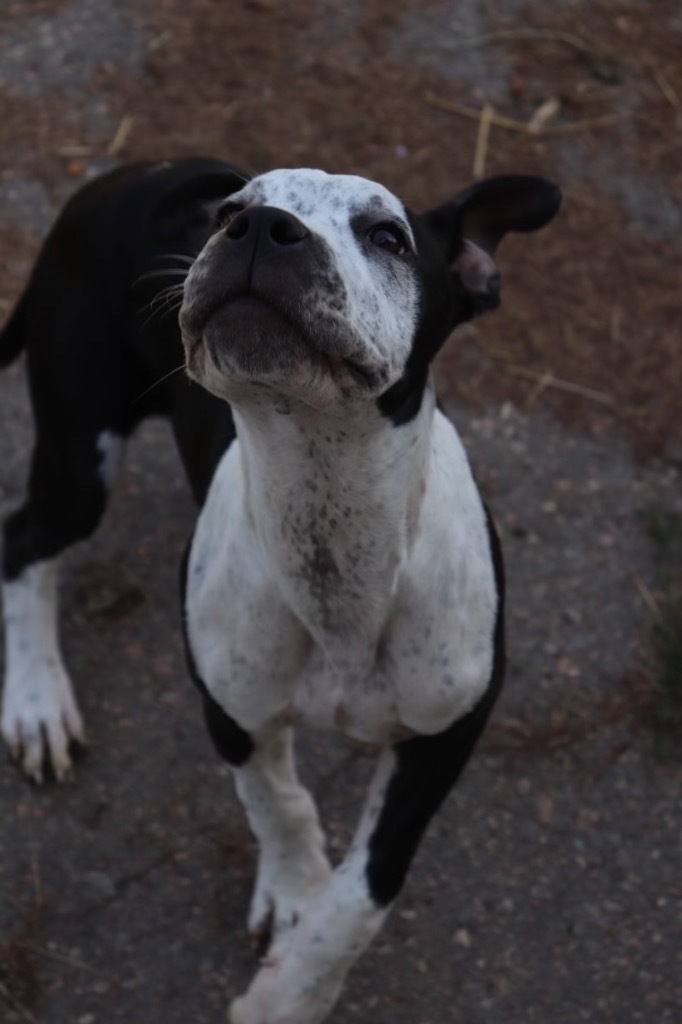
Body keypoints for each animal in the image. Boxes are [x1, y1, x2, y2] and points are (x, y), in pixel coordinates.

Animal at [0, 155, 557, 1019]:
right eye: (230, 211)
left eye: (388, 236)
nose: (259, 228)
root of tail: (122, 173)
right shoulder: (229, 705)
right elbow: (278, 803)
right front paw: (294, 899)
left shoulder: (445, 736)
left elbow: (365, 892)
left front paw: (292, 987)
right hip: (78, 455)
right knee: (22, 541)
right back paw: (36, 703)